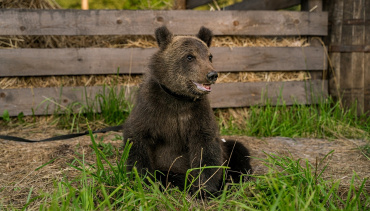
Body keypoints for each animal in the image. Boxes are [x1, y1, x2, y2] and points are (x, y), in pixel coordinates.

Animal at [123, 25, 251, 197]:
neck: (178, 98)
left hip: (228, 151)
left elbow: (206, 150)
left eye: (209, 56)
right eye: (190, 57)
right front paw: (144, 181)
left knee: (238, 149)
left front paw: (204, 189)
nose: (212, 74)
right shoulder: (150, 110)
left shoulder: (198, 116)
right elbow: (137, 140)